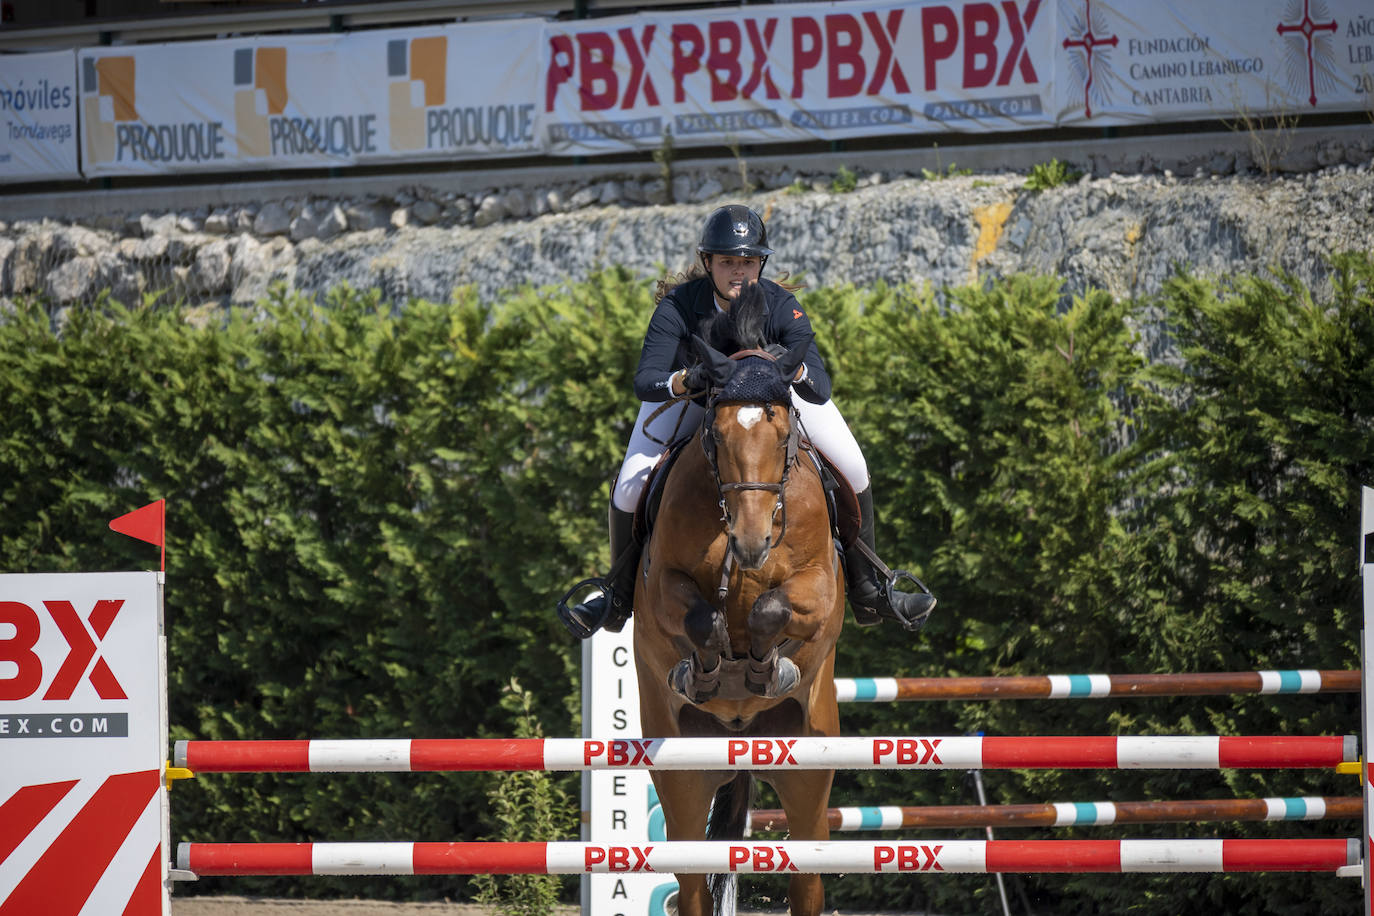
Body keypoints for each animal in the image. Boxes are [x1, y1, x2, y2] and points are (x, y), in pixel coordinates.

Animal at [632, 287, 846, 916]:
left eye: (783, 434)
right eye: (717, 434)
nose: (750, 545)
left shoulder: (818, 585)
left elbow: (771, 608)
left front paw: (764, 669)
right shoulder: (660, 585)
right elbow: (703, 617)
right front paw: (706, 671)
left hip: (809, 766)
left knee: (807, 877)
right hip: (682, 771)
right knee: (690, 882)